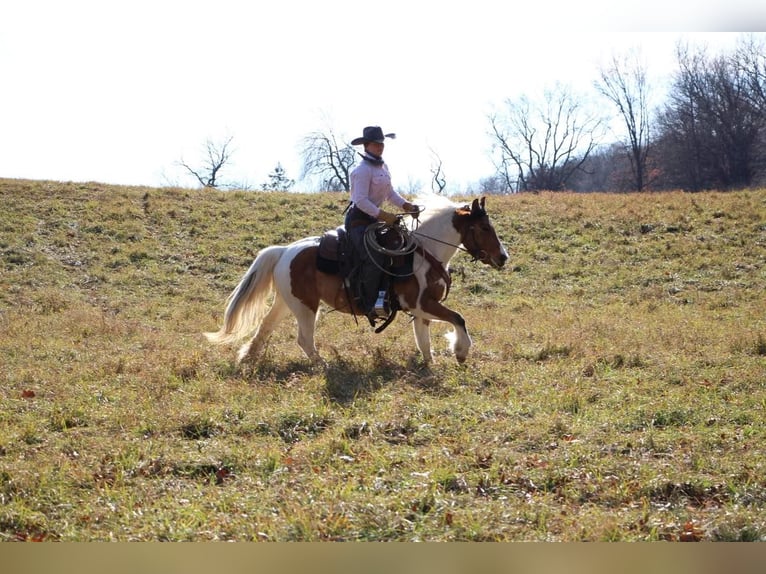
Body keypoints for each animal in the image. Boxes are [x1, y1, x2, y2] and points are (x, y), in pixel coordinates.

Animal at [204, 197, 510, 368]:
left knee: (265, 327)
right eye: (485, 228)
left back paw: (248, 359)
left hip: (287, 302)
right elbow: (458, 318)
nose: (503, 257)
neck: (424, 252)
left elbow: (424, 340)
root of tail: (285, 250)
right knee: (304, 339)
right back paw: (323, 365)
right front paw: (461, 352)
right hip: (306, 307)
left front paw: (430, 364)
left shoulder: (423, 308)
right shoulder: (422, 303)